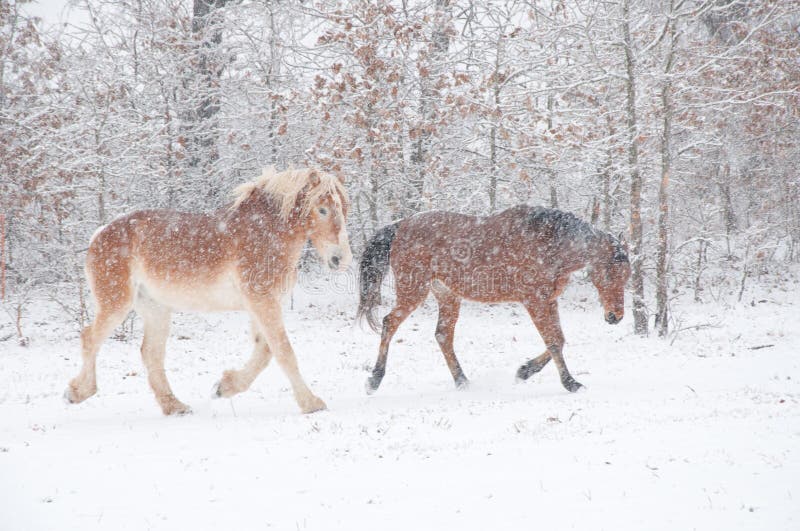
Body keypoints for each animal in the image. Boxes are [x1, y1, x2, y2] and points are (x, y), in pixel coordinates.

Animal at [67, 168, 354, 418]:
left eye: (344, 208)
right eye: (322, 209)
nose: (340, 259)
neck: (266, 232)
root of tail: (99, 235)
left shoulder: (261, 305)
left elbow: (265, 352)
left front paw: (224, 387)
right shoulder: (262, 301)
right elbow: (284, 352)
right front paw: (311, 403)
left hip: (156, 309)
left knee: (150, 353)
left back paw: (175, 406)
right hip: (117, 304)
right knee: (90, 338)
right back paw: (77, 392)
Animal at [358, 206, 632, 396]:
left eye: (627, 276)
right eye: (610, 273)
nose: (615, 317)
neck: (549, 245)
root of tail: (400, 225)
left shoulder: (549, 301)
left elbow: (559, 341)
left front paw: (524, 371)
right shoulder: (534, 301)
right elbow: (554, 342)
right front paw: (571, 383)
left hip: (447, 296)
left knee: (443, 335)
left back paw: (462, 381)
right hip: (413, 291)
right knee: (389, 323)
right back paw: (374, 380)